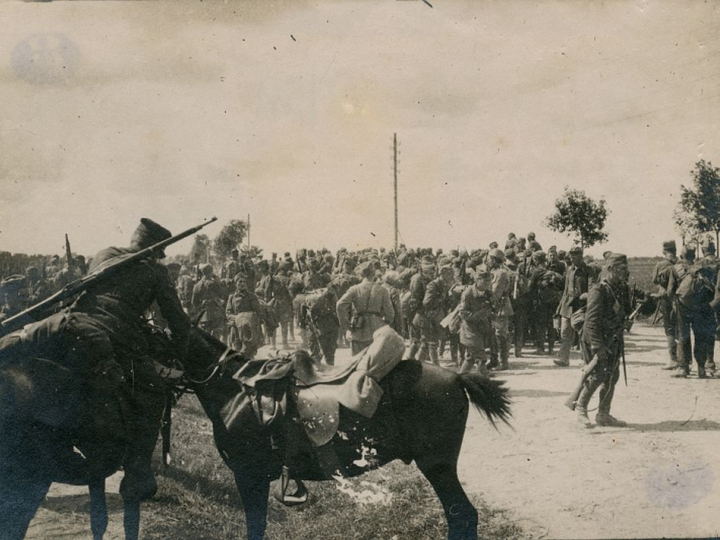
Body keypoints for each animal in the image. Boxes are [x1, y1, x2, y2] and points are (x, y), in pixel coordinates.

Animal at [184, 330, 512, 540]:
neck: (234, 386)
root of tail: (457, 376)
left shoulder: (248, 475)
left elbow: (256, 527)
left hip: (438, 466)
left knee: (463, 515)